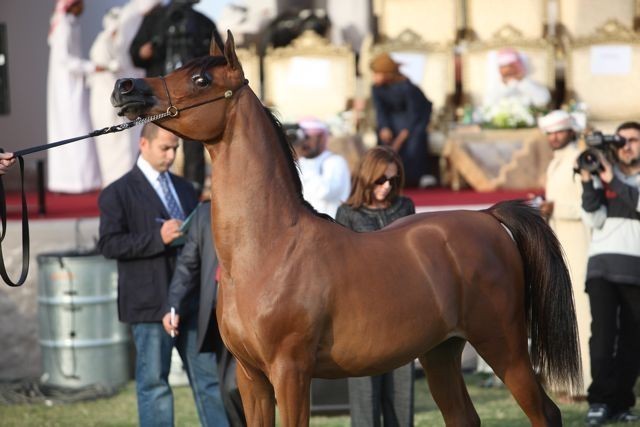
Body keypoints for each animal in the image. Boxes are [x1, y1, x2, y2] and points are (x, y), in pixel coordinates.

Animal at [111, 31, 581, 426]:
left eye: (201, 78)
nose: (125, 88)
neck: (267, 249)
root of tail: (487, 218)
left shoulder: (290, 372)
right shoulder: (251, 377)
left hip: (504, 346)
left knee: (546, 413)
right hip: (441, 354)